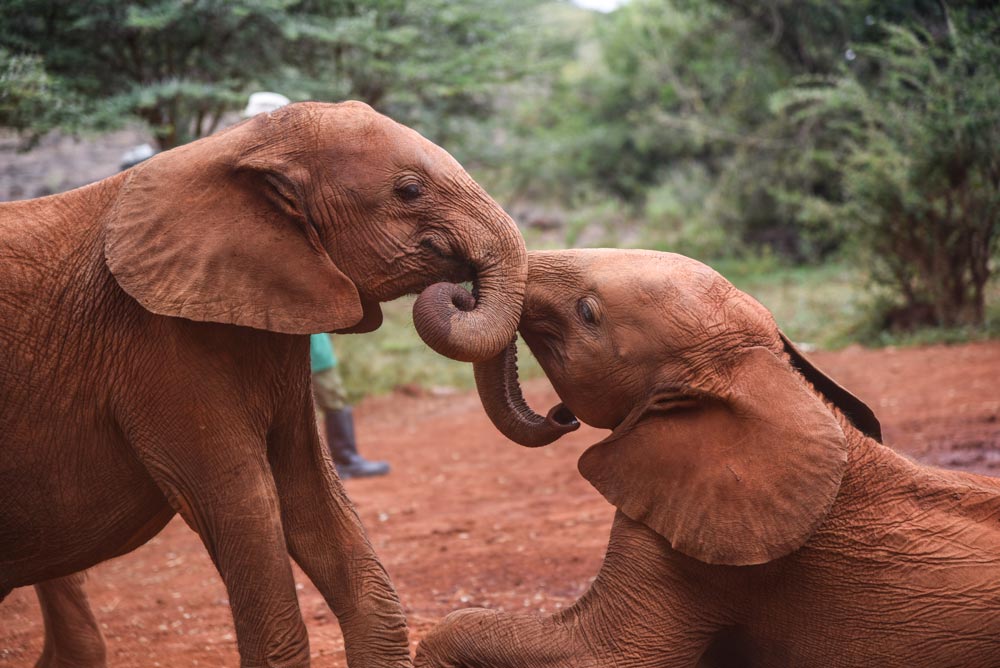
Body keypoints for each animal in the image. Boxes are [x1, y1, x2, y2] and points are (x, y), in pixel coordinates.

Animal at [0, 101, 528, 667]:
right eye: (409, 191)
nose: (461, 292)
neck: (245, 143)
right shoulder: (158, 345)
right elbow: (243, 505)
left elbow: (310, 493)